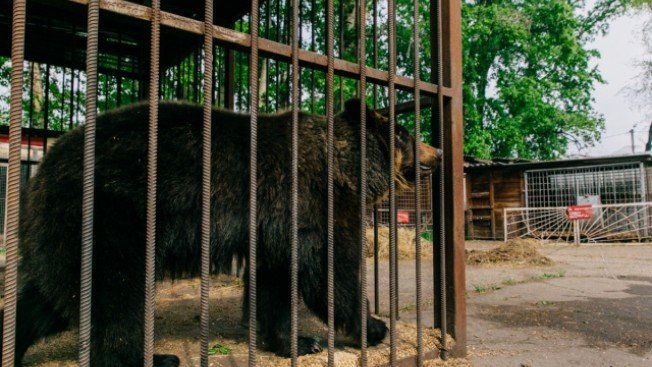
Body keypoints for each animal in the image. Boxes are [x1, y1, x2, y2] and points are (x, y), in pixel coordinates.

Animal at [1, 99, 438, 366]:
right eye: (404, 134)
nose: (437, 153)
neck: (344, 170)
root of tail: (40, 171)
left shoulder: (272, 226)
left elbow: (276, 281)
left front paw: (295, 341)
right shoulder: (309, 203)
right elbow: (329, 269)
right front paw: (372, 325)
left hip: (65, 235)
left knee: (48, 299)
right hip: (112, 216)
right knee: (116, 297)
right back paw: (157, 357)